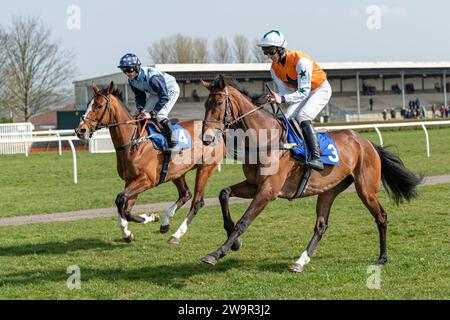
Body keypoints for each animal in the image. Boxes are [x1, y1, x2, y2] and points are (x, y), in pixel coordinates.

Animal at [77, 82, 227, 242]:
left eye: (99, 106)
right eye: (88, 103)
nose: (80, 130)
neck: (133, 142)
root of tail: (216, 131)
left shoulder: (147, 179)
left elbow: (120, 199)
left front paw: (127, 231)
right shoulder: (131, 180)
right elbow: (127, 210)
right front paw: (149, 218)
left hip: (205, 168)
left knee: (197, 201)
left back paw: (176, 235)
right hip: (177, 172)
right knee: (185, 194)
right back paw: (165, 223)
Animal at [200, 75, 422, 272]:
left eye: (219, 102)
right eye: (204, 104)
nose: (206, 138)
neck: (267, 139)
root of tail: (366, 142)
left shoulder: (268, 190)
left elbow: (243, 222)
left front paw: (216, 253)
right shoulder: (254, 184)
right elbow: (223, 193)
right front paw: (234, 242)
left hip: (365, 189)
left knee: (381, 216)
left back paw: (382, 257)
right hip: (329, 190)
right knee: (321, 226)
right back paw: (300, 261)